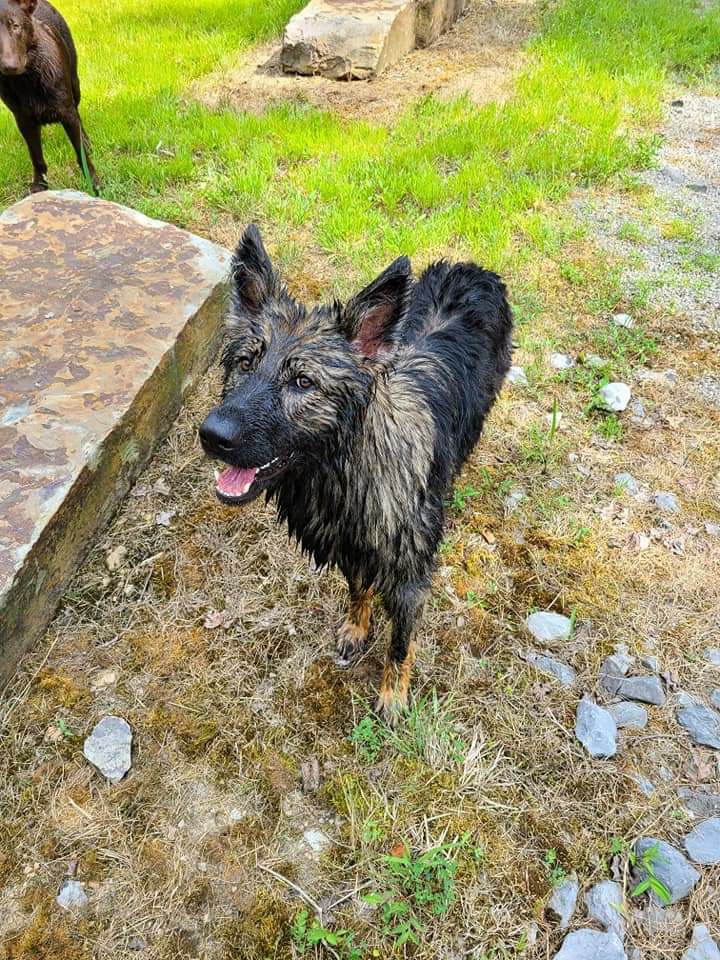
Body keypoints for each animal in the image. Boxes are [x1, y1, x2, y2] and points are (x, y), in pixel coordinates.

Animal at [0, 0, 99, 193]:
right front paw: (40, 185)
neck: (27, 79)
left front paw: (93, 182)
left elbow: (81, 152)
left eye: (15, 26)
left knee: (79, 115)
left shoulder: (67, 113)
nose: (9, 67)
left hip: (75, 85)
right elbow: (36, 157)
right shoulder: (24, 121)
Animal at [199, 226, 513, 722]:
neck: (344, 474)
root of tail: (472, 267)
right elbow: (358, 589)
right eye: (245, 363)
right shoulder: (350, 547)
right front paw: (356, 627)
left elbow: (400, 645)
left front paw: (393, 696)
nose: (212, 436)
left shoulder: (408, 578)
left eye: (303, 382)